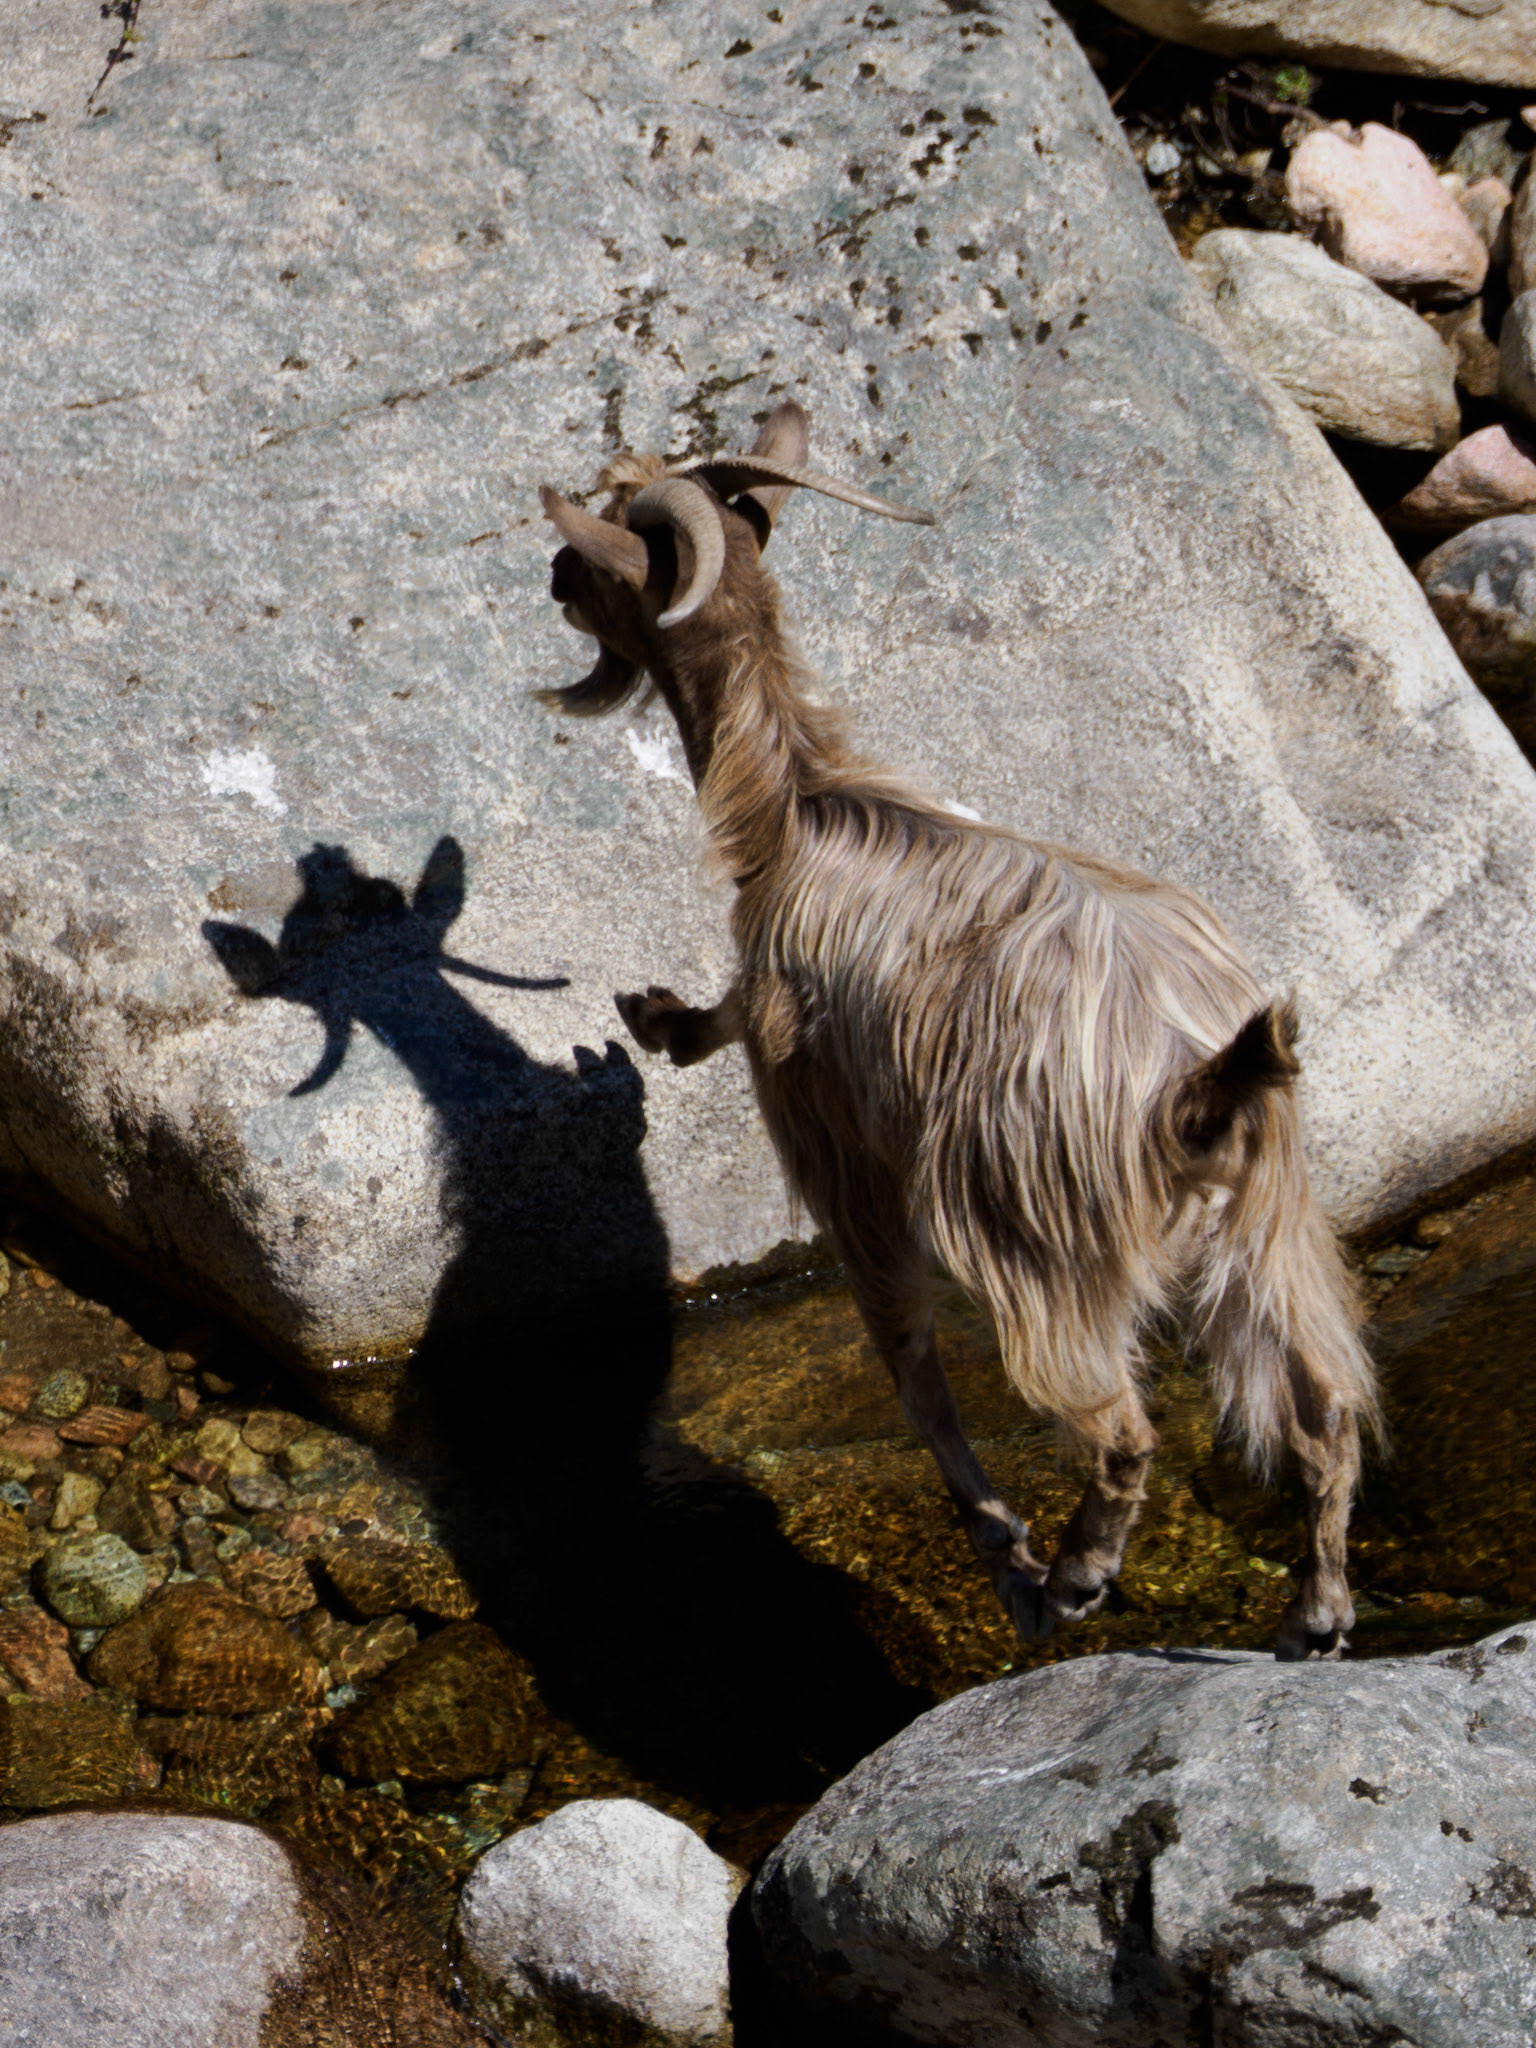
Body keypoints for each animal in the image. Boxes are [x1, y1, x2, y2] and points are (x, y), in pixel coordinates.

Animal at [537, 402, 1377, 1660]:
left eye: (597, 550)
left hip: (1030, 1228)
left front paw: (1015, 1556)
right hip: (1266, 1234)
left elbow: (911, 1367)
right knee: (1324, 1407)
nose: (550, 577)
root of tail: (1198, 1086)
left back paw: (1073, 1573)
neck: (802, 803)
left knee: (1117, 1423)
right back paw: (1315, 1613)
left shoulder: (833, 1127)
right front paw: (655, 1020)